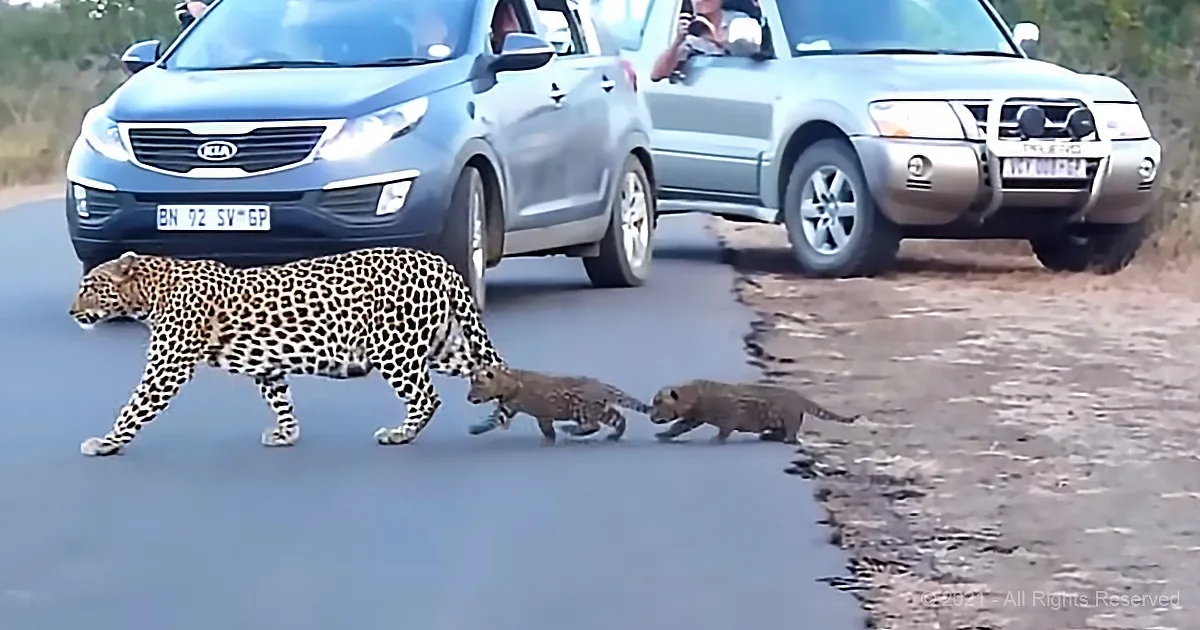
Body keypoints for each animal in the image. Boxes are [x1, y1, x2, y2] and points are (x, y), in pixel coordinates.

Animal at [68, 247, 505, 457]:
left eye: (89, 287)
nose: (72, 312)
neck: (150, 293)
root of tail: (438, 260)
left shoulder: (167, 367)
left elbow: (134, 407)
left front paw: (106, 443)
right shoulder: (268, 364)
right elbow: (280, 399)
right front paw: (286, 435)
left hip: (395, 349)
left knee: (426, 397)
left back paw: (400, 434)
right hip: (443, 344)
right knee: (488, 368)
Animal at [463, 365, 653, 444]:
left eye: (477, 386)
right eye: (472, 385)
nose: (468, 397)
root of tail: (605, 386)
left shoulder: (541, 413)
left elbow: (546, 428)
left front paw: (550, 438)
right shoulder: (507, 408)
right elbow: (493, 420)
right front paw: (477, 429)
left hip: (582, 408)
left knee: (594, 425)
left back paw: (570, 430)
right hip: (601, 410)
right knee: (619, 420)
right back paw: (614, 437)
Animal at [648, 378, 861, 444]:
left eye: (658, 402)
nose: (651, 417)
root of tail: (799, 396)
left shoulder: (729, 415)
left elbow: (724, 429)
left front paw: (716, 440)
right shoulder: (692, 418)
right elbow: (677, 427)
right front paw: (664, 435)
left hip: (789, 417)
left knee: (791, 431)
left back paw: (786, 439)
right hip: (777, 419)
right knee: (779, 430)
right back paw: (768, 436)